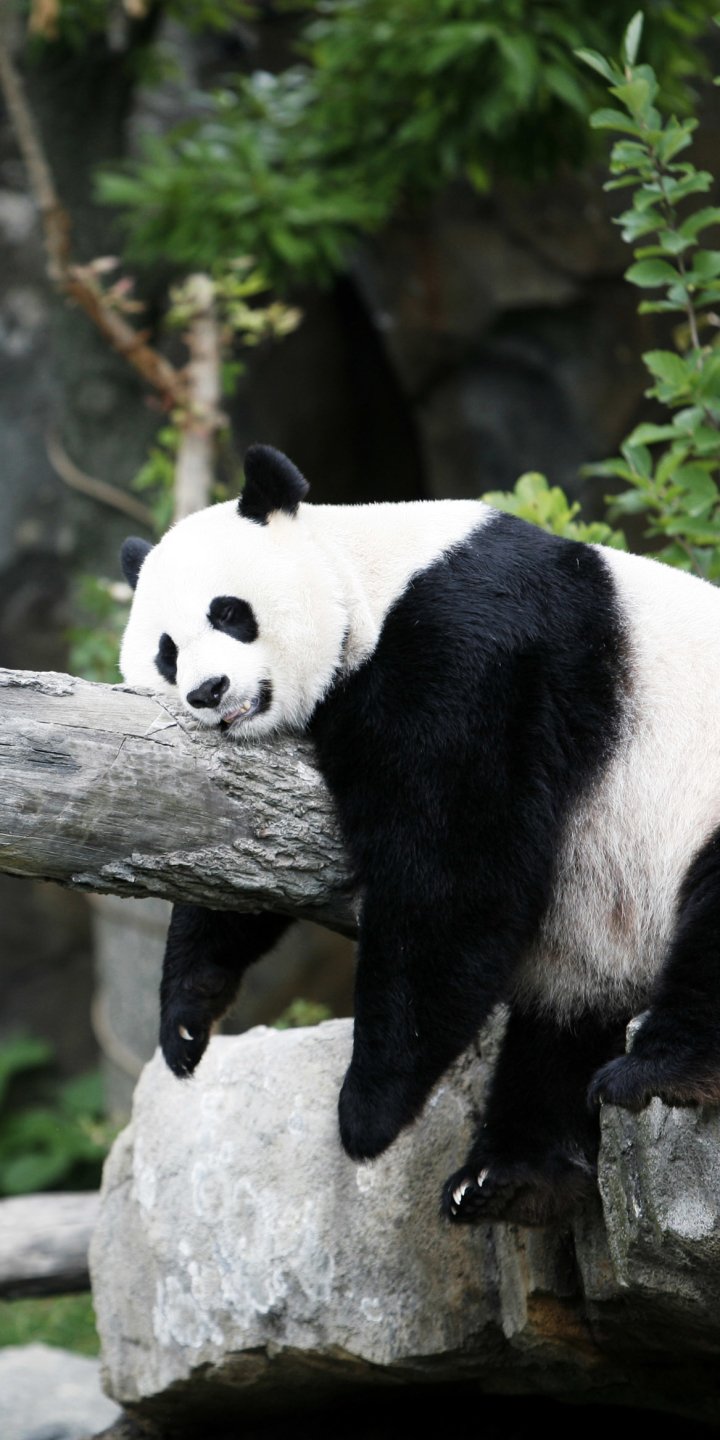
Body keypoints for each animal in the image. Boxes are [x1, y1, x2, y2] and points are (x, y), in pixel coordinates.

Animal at [119, 442, 720, 1228]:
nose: (207, 691)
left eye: (229, 613)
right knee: (560, 1022)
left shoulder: (472, 647)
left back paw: (655, 1072)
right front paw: (188, 1020)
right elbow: (239, 857)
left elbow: (452, 870)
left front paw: (367, 1111)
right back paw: (512, 1175)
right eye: (166, 652)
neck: (368, 577)